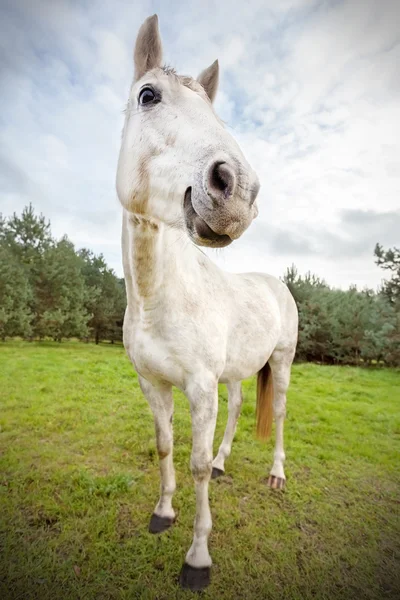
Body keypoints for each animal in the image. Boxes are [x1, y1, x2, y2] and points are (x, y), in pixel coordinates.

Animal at [115, 14, 296, 592]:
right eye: (148, 95)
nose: (237, 190)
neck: (159, 299)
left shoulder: (199, 390)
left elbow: (192, 465)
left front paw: (197, 558)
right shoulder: (153, 384)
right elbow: (165, 447)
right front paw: (162, 514)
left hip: (282, 362)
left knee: (277, 414)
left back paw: (276, 474)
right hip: (236, 372)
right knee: (239, 407)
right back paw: (224, 460)